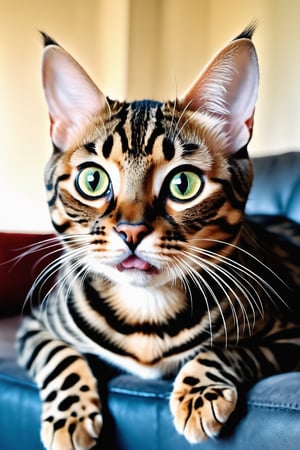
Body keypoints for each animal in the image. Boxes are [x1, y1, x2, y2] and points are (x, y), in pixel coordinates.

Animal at [17, 27, 300, 450]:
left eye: (183, 184)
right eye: (92, 180)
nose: (131, 230)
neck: (146, 311)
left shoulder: (291, 333)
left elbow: (235, 350)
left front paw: (199, 393)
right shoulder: (35, 327)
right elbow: (59, 357)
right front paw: (70, 417)